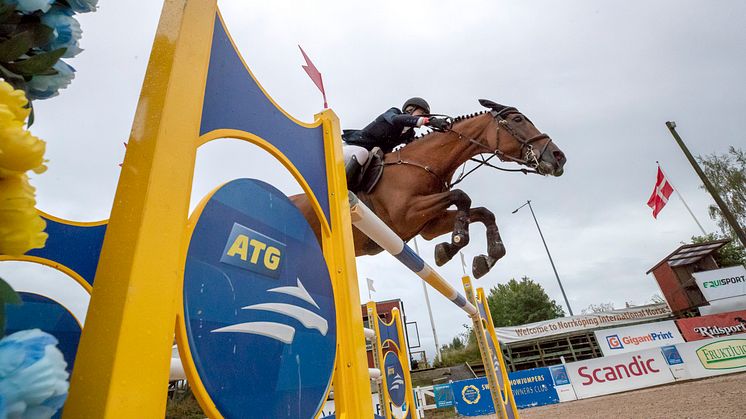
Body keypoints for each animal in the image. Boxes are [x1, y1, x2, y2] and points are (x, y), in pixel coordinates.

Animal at [290, 99, 564, 278]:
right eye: (518, 120)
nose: (559, 157)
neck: (425, 164)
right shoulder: (406, 215)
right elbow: (462, 196)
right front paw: (456, 241)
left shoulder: (428, 225)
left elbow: (484, 212)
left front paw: (483, 259)